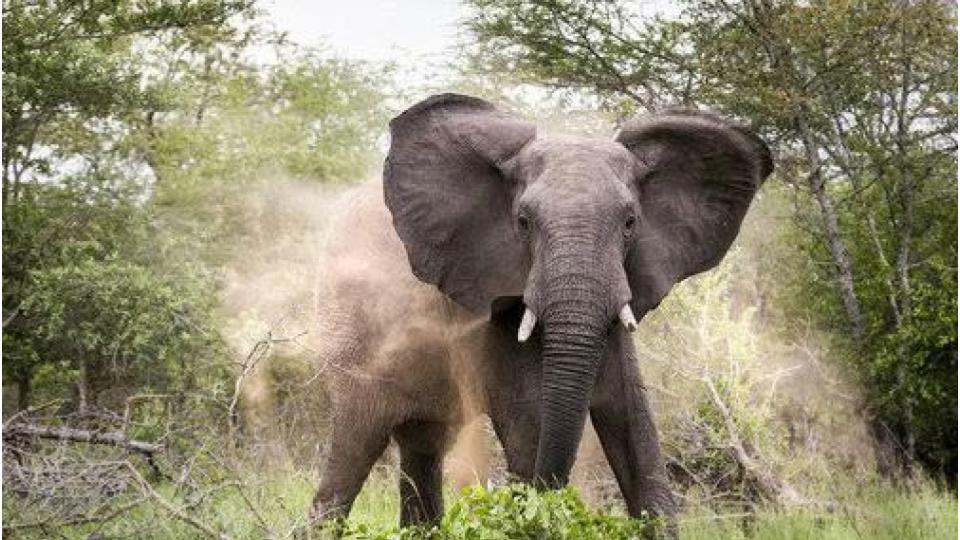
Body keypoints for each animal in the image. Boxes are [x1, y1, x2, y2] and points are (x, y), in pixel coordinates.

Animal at [307, 93, 773, 532]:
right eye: (523, 222)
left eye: (630, 223)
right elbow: (531, 427)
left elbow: (634, 424)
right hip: (353, 337)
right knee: (353, 450)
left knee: (423, 446)